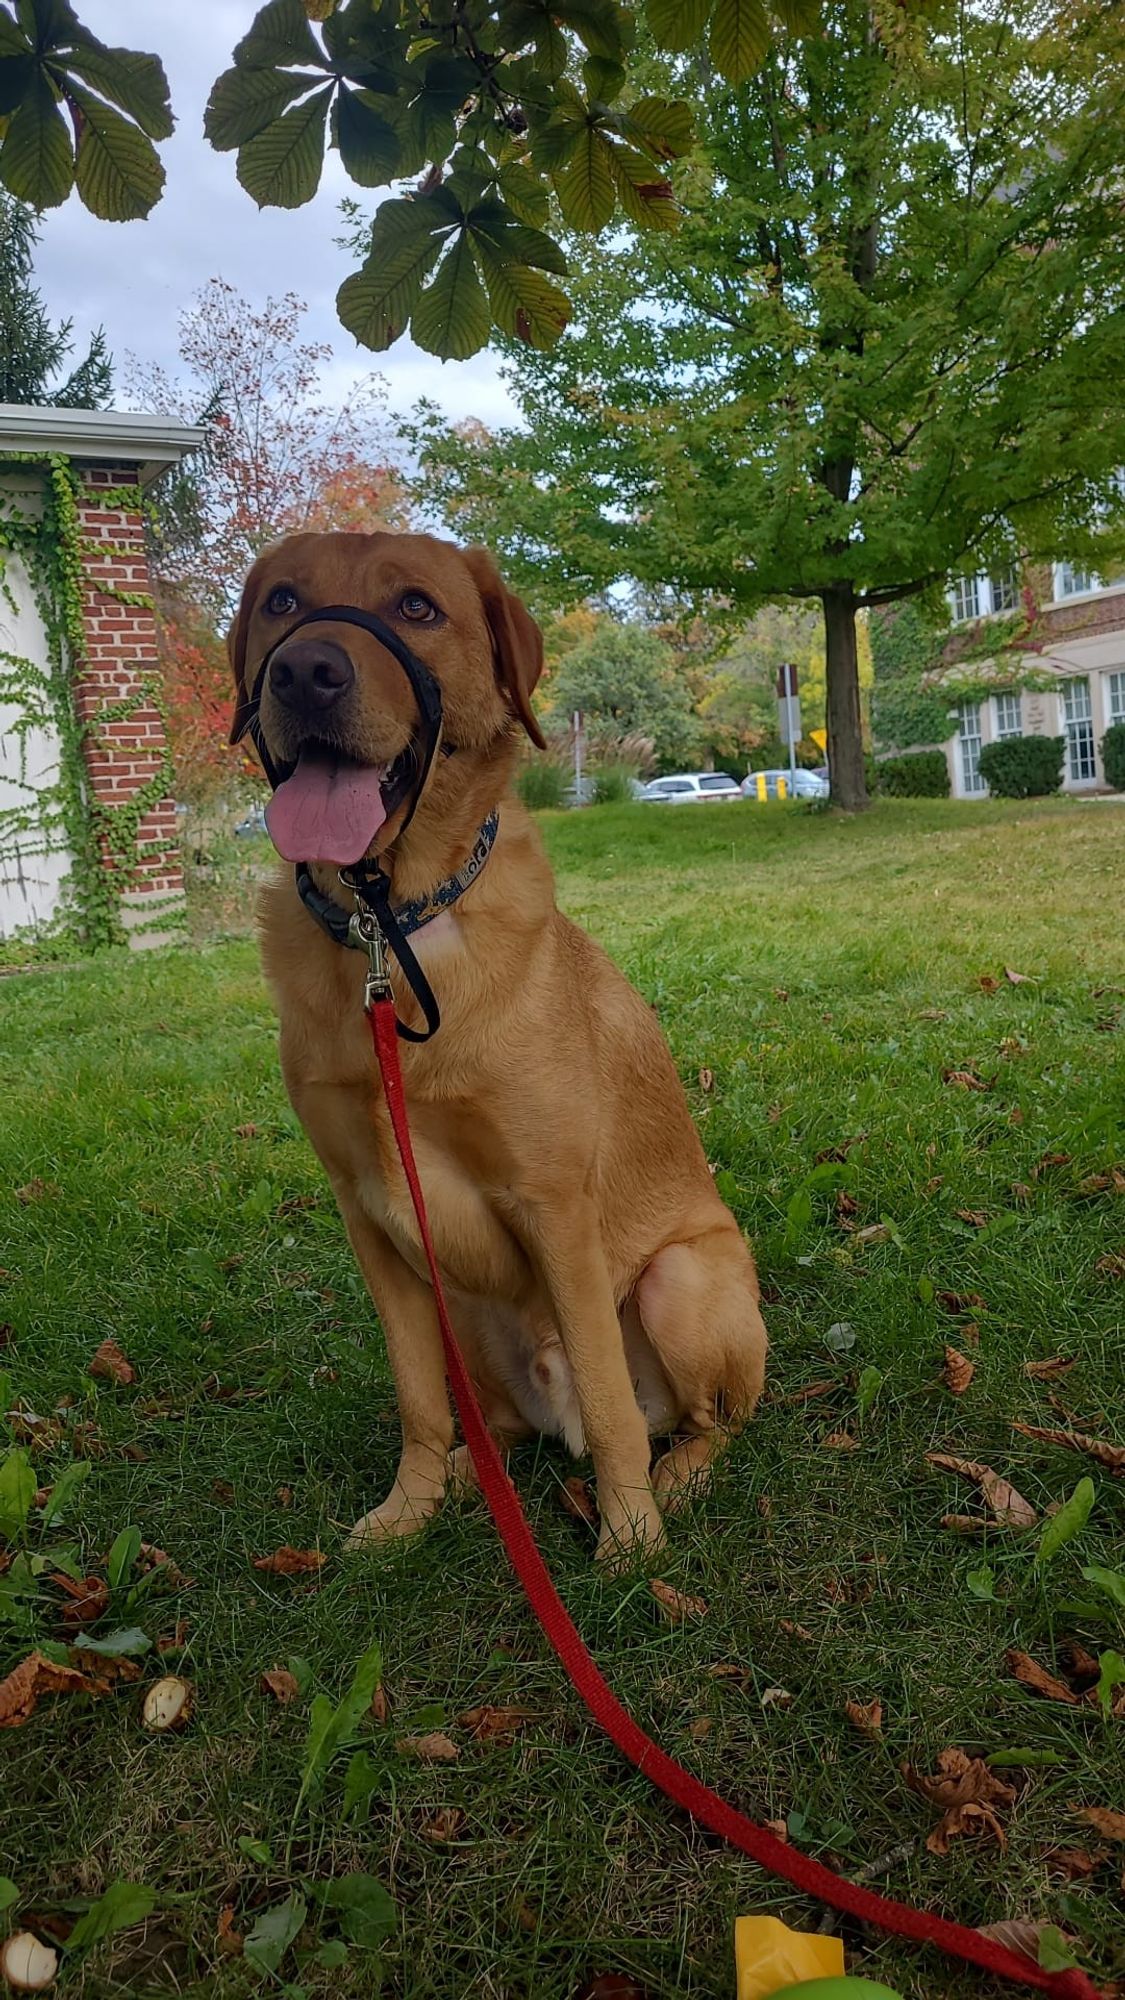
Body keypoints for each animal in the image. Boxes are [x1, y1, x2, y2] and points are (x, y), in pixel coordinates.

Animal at [232, 532, 764, 1560]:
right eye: (280, 602)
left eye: (416, 607)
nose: (304, 672)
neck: (387, 929)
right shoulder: (370, 1220)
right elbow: (417, 1401)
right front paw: (408, 1507)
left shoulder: (551, 1205)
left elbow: (606, 1400)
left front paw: (629, 1538)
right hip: (467, 1320)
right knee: (498, 1427)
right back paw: (467, 1483)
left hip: (681, 1280)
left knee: (700, 1422)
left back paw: (672, 1480)